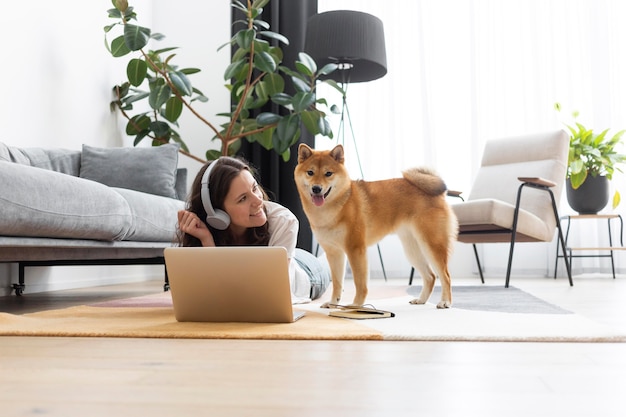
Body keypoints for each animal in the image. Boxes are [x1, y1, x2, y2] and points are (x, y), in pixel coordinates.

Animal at [294, 145, 456, 308]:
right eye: (310, 172)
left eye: (328, 173)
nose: (316, 188)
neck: (335, 207)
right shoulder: (334, 253)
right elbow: (338, 283)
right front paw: (333, 303)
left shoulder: (355, 250)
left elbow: (360, 283)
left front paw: (356, 305)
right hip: (412, 249)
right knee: (430, 276)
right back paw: (421, 300)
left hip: (432, 245)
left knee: (445, 276)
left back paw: (445, 301)